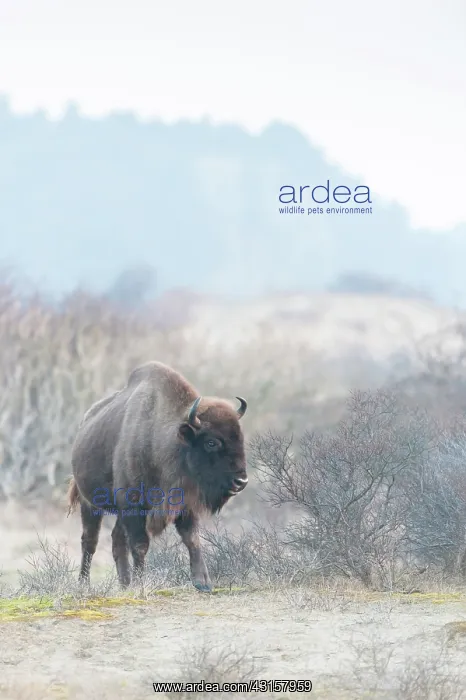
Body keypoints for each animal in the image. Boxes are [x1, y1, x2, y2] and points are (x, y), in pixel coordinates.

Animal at [68, 361, 248, 592]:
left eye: (240, 438)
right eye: (211, 442)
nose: (241, 481)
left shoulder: (184, 504)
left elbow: (192, 539)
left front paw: (203, 583)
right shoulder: (134, 505)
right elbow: (140, 545)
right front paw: (140, 584)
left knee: (116, 540)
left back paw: (124, 583)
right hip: (89, 503)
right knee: (89, 541)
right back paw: (84, 584)